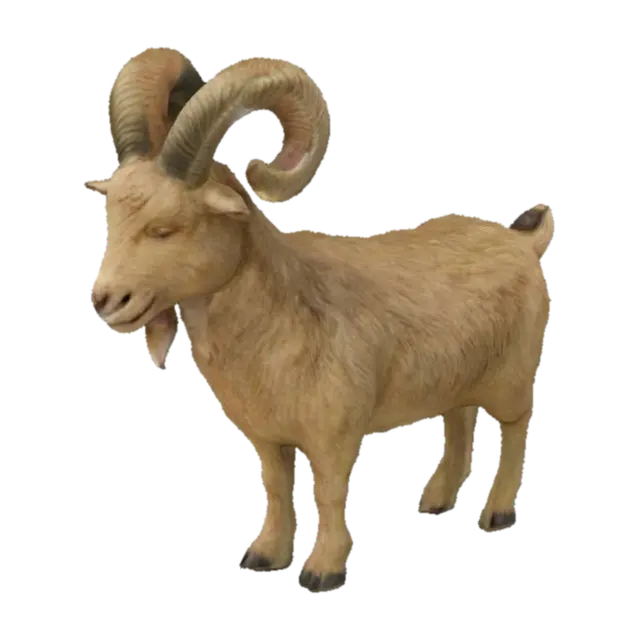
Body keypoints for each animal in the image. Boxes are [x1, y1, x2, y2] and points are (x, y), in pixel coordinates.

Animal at [86, 47, 554, 595]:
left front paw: (323, 571)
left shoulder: (334, 436)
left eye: (166, 228)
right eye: (111, 217)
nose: (104, 300)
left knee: (515, 430)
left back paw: (497, 514)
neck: (283, 311)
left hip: (511, 379)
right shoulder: (267, 436)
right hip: (455, 377)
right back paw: (434, 501)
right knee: (459, 424)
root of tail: (522, 242)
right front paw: (264, 556)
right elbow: (277, 489)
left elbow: (329, 494)